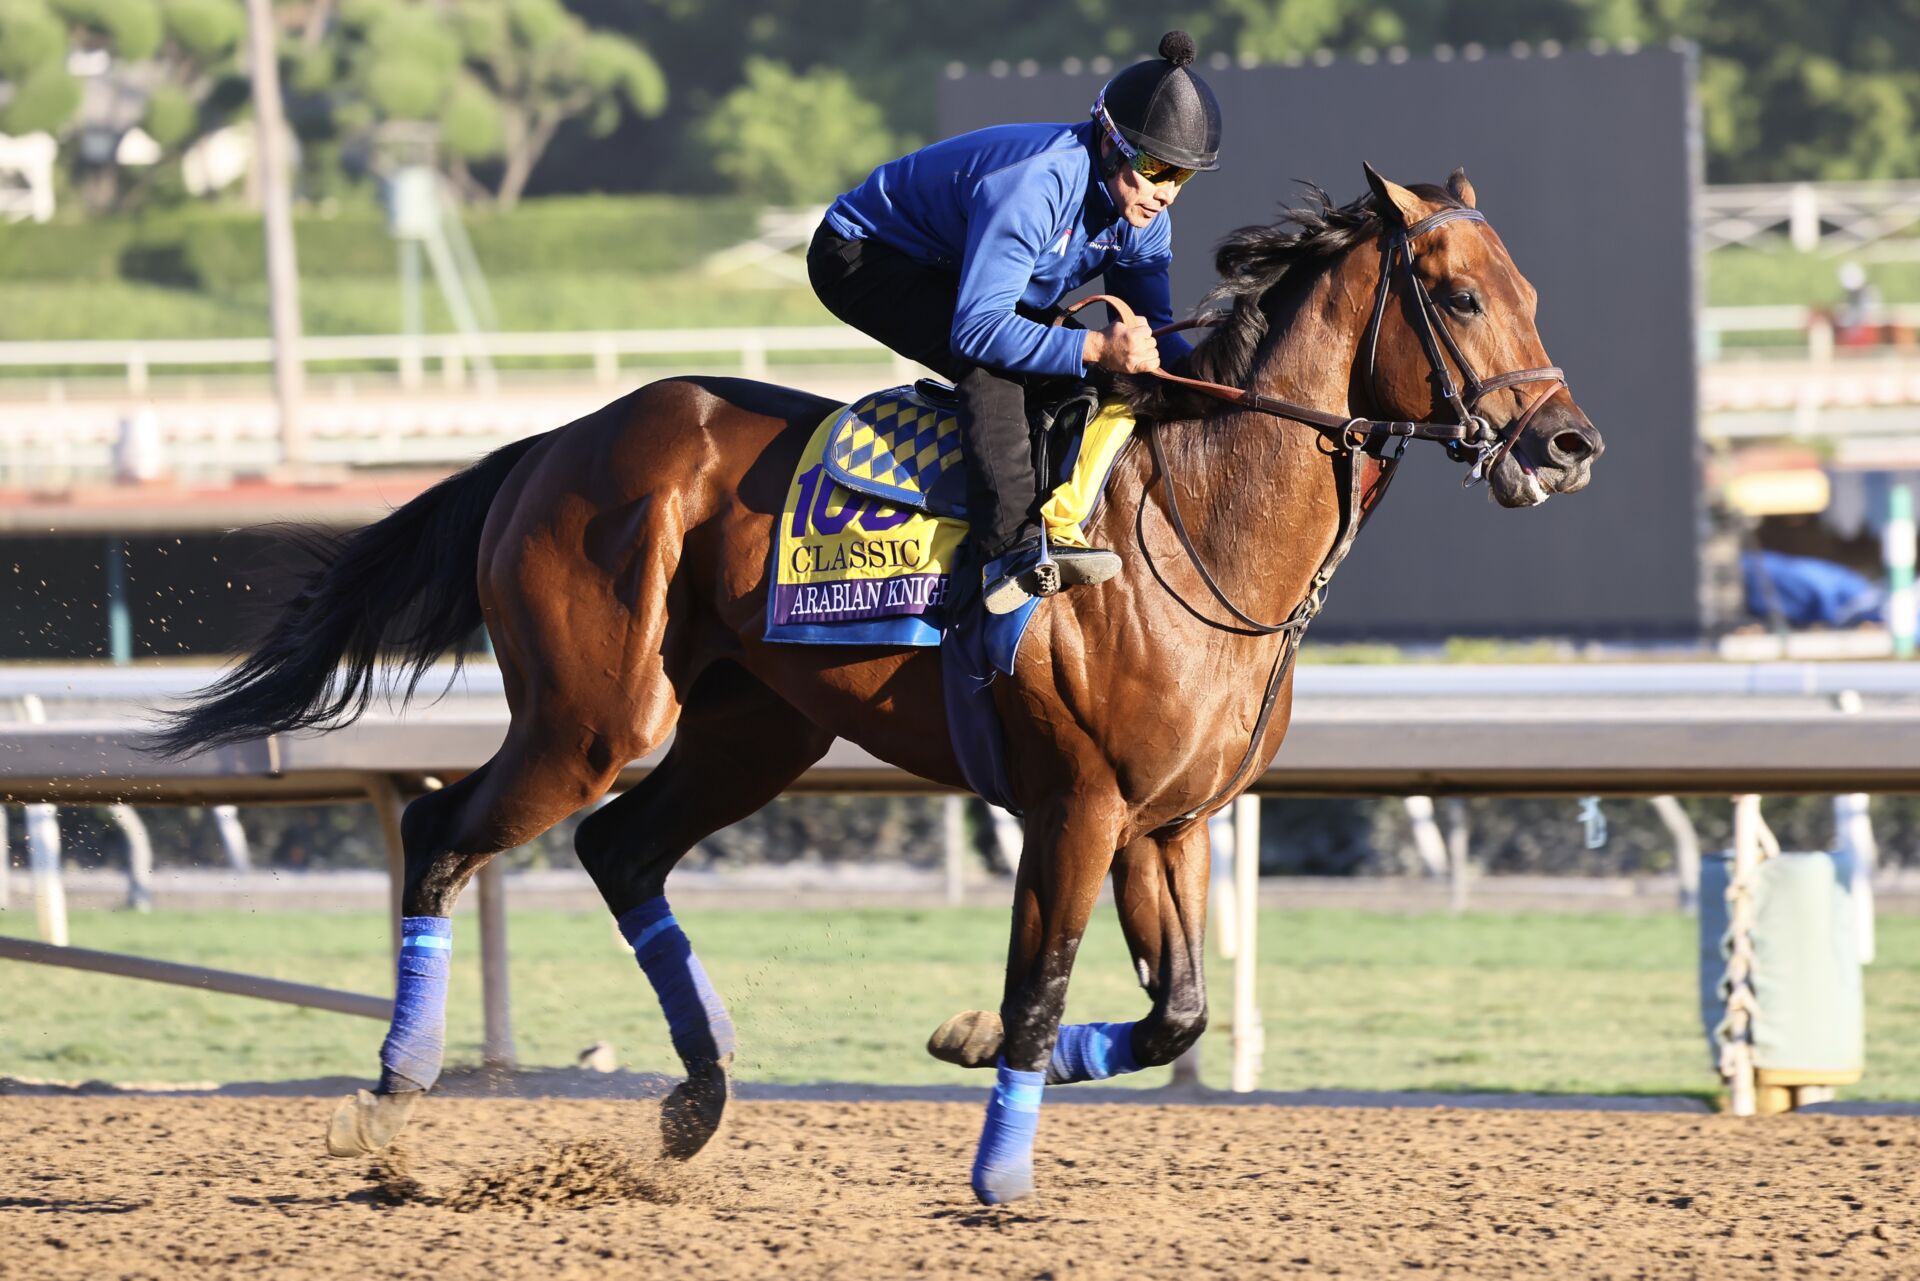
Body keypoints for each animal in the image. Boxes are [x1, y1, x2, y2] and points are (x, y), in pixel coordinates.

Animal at [155, 164, 1602, 1205]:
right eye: (1459, 300)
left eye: (1533, 289)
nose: (1567, 443)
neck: (1195, 517)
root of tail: (549, 443)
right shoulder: (1075, 805)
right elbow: (1042, 988)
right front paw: (1000, 1173)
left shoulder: (1173, 821)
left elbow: (1174, 1013)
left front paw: (970, 1044)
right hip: (593, 715)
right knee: (440, 829)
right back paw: (393, 1105)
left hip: (753, 730)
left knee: (622, 850)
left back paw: (698, 1096)